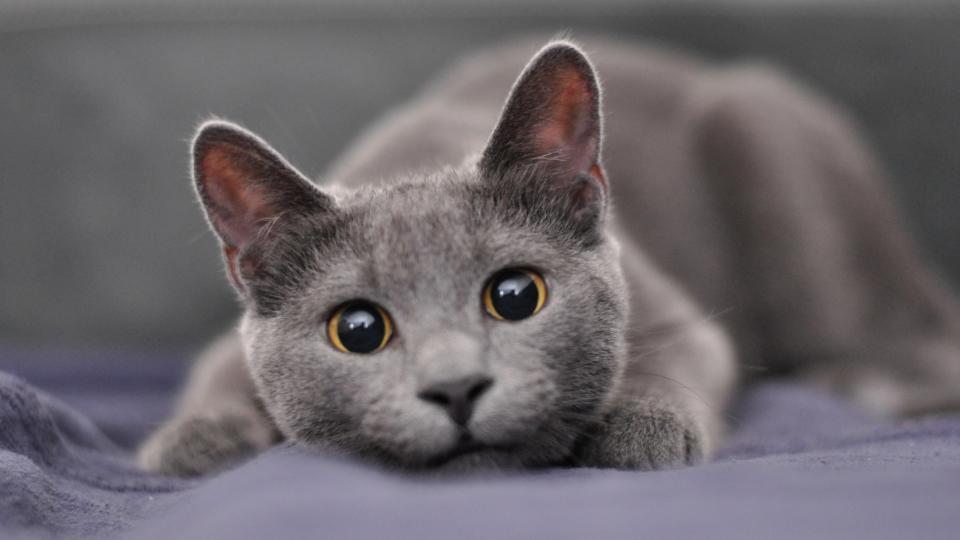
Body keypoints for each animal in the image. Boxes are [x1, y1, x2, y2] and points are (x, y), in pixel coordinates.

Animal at [137, 37, 960, 476]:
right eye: (358, 330)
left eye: (515, 296)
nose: (456, 387)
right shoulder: (230, 345)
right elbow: (216, 375)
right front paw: (188, 445)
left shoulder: (677, 313)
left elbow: (679, 357)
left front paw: (640, 431)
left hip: (771, 154)